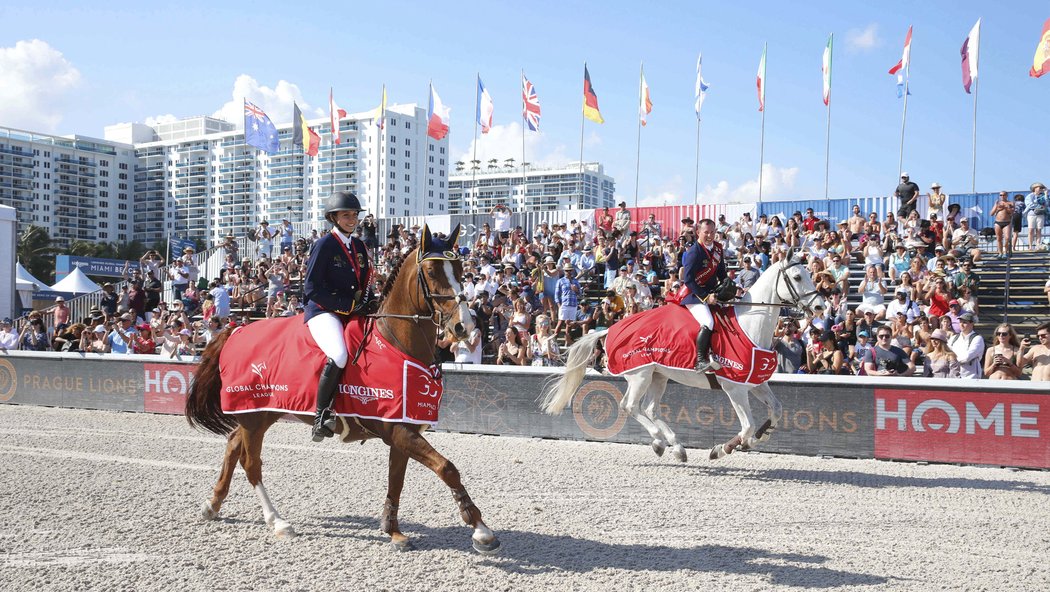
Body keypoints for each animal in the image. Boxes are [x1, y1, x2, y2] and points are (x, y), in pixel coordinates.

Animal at [186, 224, 501, 554]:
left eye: (460, 269)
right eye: (430, 270)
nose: (464, 327)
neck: (396, 342)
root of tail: (236, 329)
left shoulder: (401, 428)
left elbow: (396, 481)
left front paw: (393, 531)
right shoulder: (400, 431)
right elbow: (447, 468)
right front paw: (481, 531)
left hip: (261, 411)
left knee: (234, 444)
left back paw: (212, 505)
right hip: (254, 415)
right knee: (250, 463)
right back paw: (277, 522)